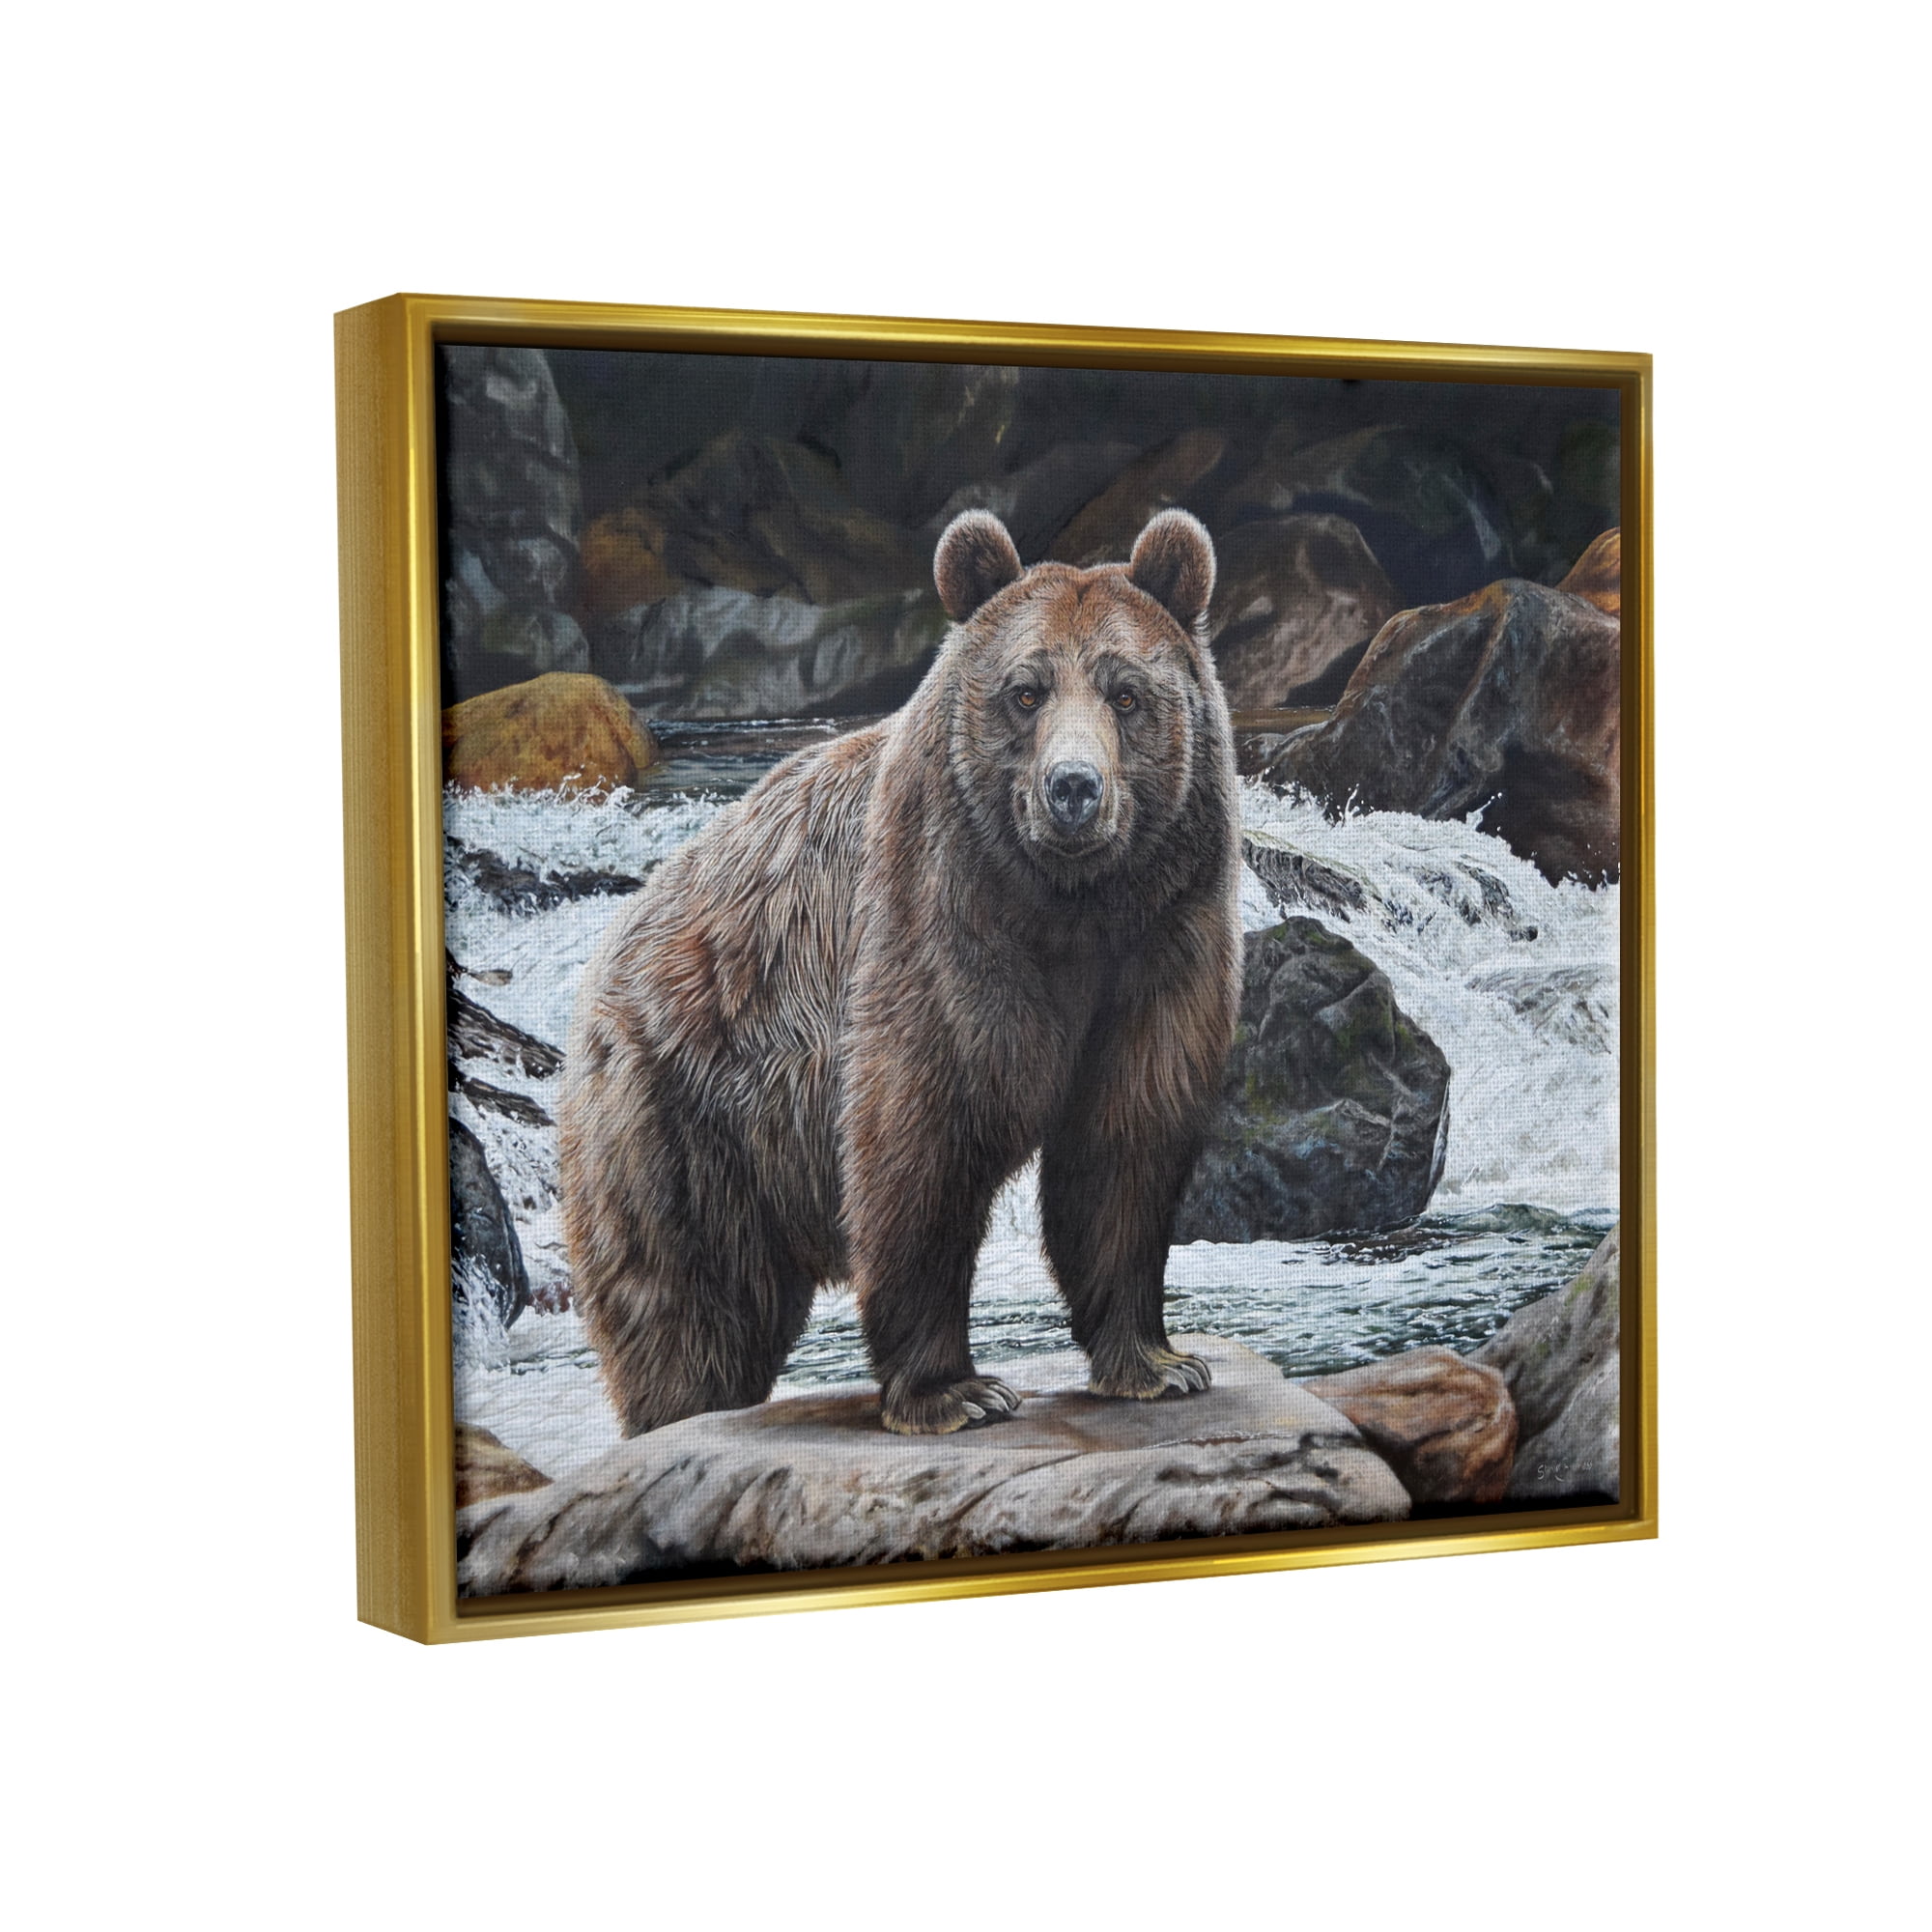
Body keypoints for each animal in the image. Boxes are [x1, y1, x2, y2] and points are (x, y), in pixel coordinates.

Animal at [559, 507, 1243, 1435]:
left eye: (1126, 693)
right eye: (1025, 691)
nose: (1073, 789)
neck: (1073, 906)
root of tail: (609, 953)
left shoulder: (1164, 938)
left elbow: (1124, 1142)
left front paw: (1157, 1362)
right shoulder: (940, 921)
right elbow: (921, 1139)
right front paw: (955, 1390)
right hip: (679, 1114)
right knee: (686, 1307)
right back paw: (679, 1412)